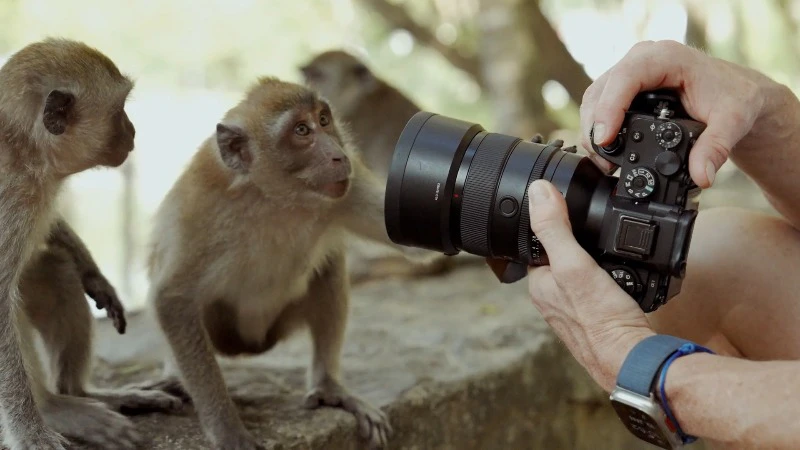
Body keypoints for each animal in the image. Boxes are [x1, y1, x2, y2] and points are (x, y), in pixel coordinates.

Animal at [0, 37, 164, 450]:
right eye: (119, 111)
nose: (133, 131)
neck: (25, 150)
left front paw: (92, 272)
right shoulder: (9, 196)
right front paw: (31, 434)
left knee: (56, 268)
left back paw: (80, 393)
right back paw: (55, 408)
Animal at [131, 77, 439, 450]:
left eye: (323, 120)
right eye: (301, 130)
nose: (338, 155)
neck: (273, 197)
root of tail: (251, 346)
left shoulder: (347, 189)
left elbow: (414, 245)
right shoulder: (200, 211)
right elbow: (172, 300)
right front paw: (226, 428)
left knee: (329, 265)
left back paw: (329, 387)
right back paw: (175, 379)